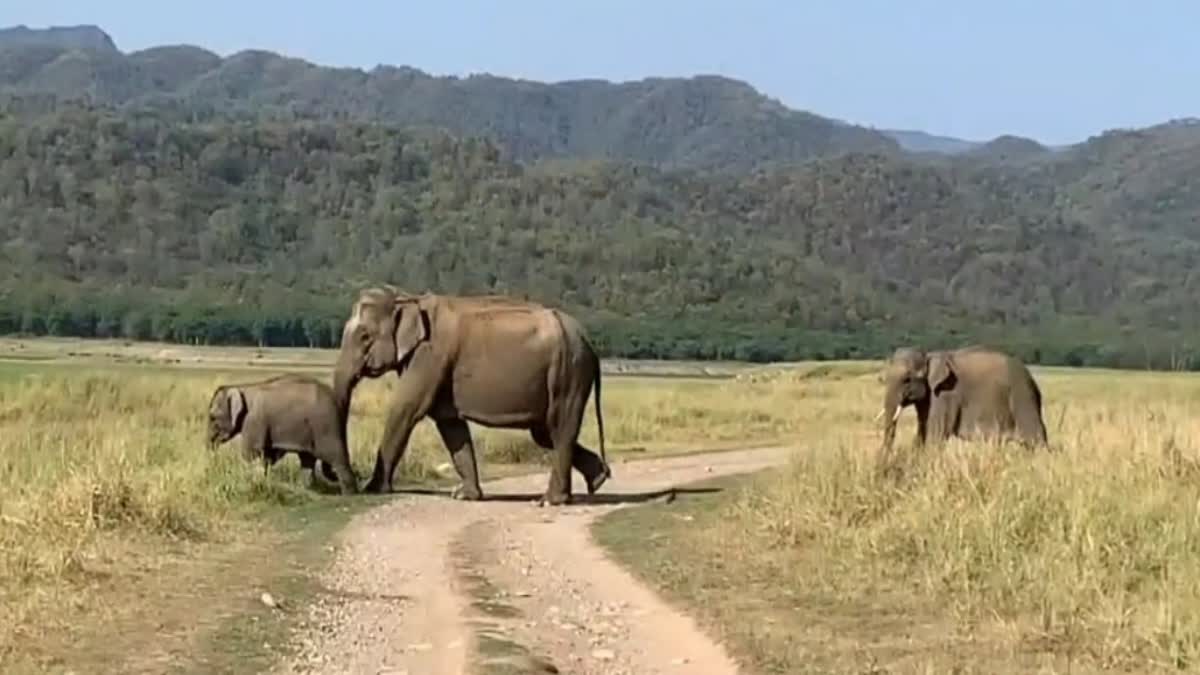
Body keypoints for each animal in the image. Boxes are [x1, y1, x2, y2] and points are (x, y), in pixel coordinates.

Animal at [206, 369, 357, 492]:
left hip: (326, 427)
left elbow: (251, 453)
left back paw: (349, 493)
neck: (243, 387)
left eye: (212, 417)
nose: (212, 451)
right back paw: (305, 489)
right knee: (307, 459)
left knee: (337, 458)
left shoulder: (253, 420)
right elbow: (266, 456)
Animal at [331, 285, 609, 502]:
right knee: (545, 433)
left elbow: (406, 409)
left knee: (559, 428)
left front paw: (373, 489)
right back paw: (598, 479)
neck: (409, 298)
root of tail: (589, 342)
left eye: (364, 336)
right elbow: (451, 424)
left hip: (569, 373)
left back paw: (552, 500)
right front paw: (465, 495)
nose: (350, 486)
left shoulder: (429, 356)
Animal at [873, 343, 1051, 449]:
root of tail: (1031, 379)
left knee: (1035, 438)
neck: (929, 356)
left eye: (907, 380)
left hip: (1022, 397)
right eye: (883, 379)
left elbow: (935, 434)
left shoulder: (944, 395)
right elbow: (923, 431)